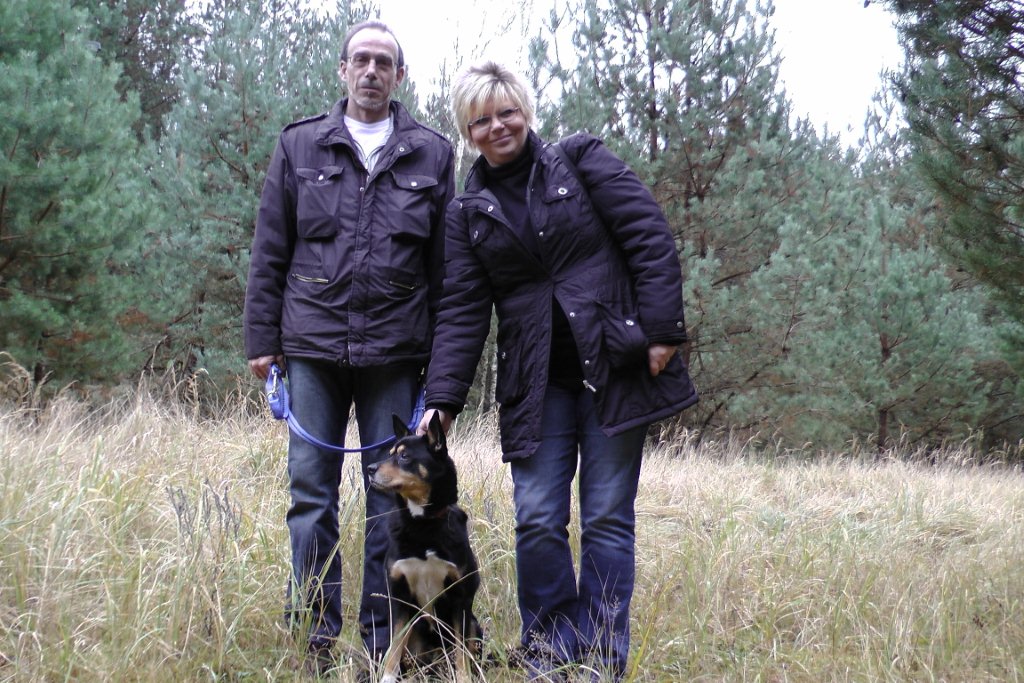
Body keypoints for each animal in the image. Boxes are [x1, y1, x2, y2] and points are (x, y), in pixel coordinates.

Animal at [367, 412, 482, 682]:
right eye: (390, 453)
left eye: (404, 456)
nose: (370, 469)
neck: (422, 524)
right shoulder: (400, 596)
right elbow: (394, 649)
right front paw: (387, 678)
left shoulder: (460, 596)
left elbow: (461, 652)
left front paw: (463, 678)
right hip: (416, 630)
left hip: (474, 624)